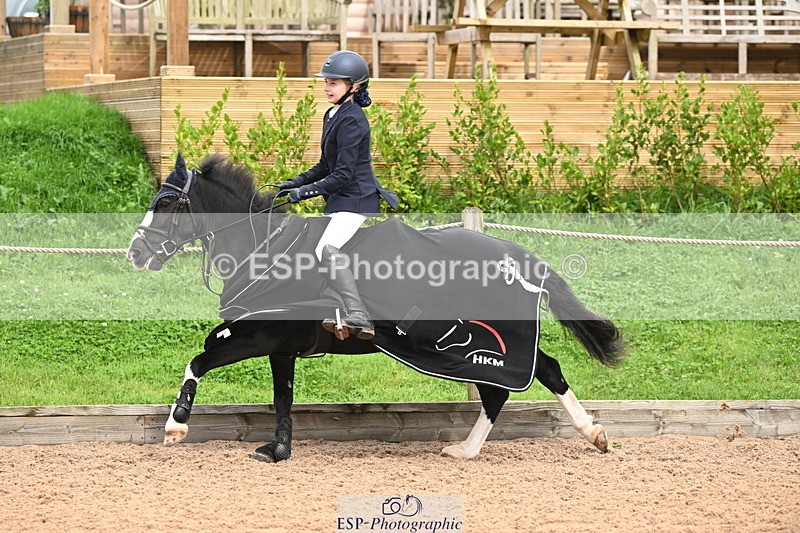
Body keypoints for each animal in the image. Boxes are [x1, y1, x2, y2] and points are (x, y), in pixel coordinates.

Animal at [127, 154, 625, 462]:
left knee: (518, 381)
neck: (264, 251)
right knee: (533, 375)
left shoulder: (260, 334)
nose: (135, 253)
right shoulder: (281, 345)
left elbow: (200, 357)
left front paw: (176, 425)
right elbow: (282, 396)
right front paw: (278, 450)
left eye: (167, 203)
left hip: (482, 340)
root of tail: (517, 256)